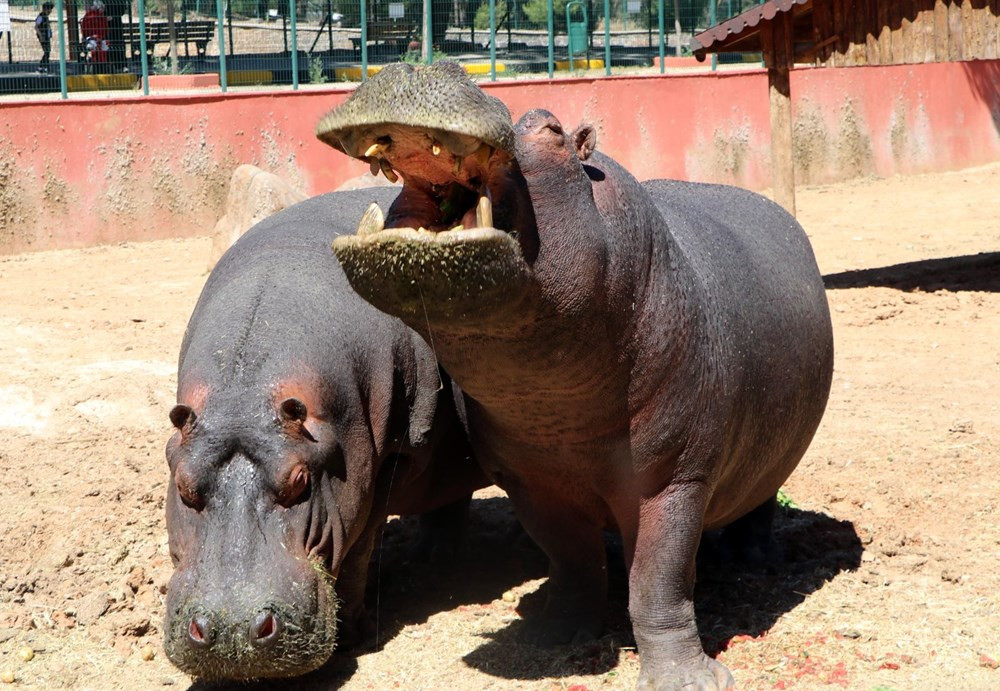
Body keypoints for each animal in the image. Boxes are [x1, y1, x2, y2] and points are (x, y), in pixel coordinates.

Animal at [162, 188, 486, 680]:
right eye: (182, 486)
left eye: (300, 481)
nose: (232, 633)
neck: (244, 394)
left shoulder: (384, 464)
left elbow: (357, 553)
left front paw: (354, 636)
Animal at [316, 62, 832, 688]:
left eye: (552, 130)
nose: (422, 66)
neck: (552, 400)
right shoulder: (530, 481)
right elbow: (572, 560)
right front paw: (548, 637)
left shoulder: (678, 478)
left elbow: (657, 581)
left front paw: (690, 679)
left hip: (765, 458)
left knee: (759, 502)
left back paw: (755, 561)